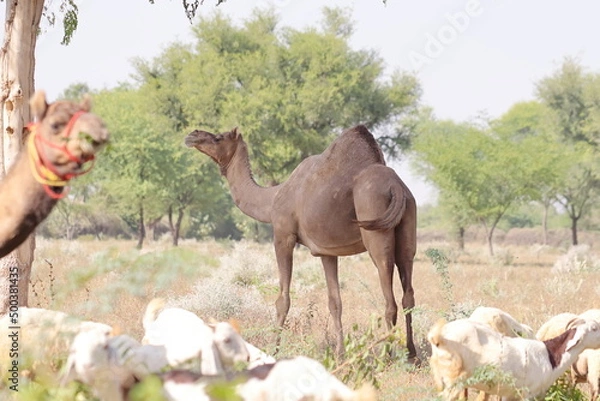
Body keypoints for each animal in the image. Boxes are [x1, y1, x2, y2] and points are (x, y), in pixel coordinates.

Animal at [184, 124, 418, 356]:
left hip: (375, 226)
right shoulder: (326, 251)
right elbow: (335, 302)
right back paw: (411, 353)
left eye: (219, 137)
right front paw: (340, 353)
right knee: (408, 291)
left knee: (389, 297)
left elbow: (283, 299)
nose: (192, 135)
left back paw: (388, 355)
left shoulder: (283, 235)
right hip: (408, 226)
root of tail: (396, 187)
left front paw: (273, 351)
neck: (271, 200)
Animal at [428, 318, 600, 398]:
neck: (550, 356)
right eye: (594, 328)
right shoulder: (528, 394)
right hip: (453, 382)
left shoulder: (509, 395)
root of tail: (438, 338)